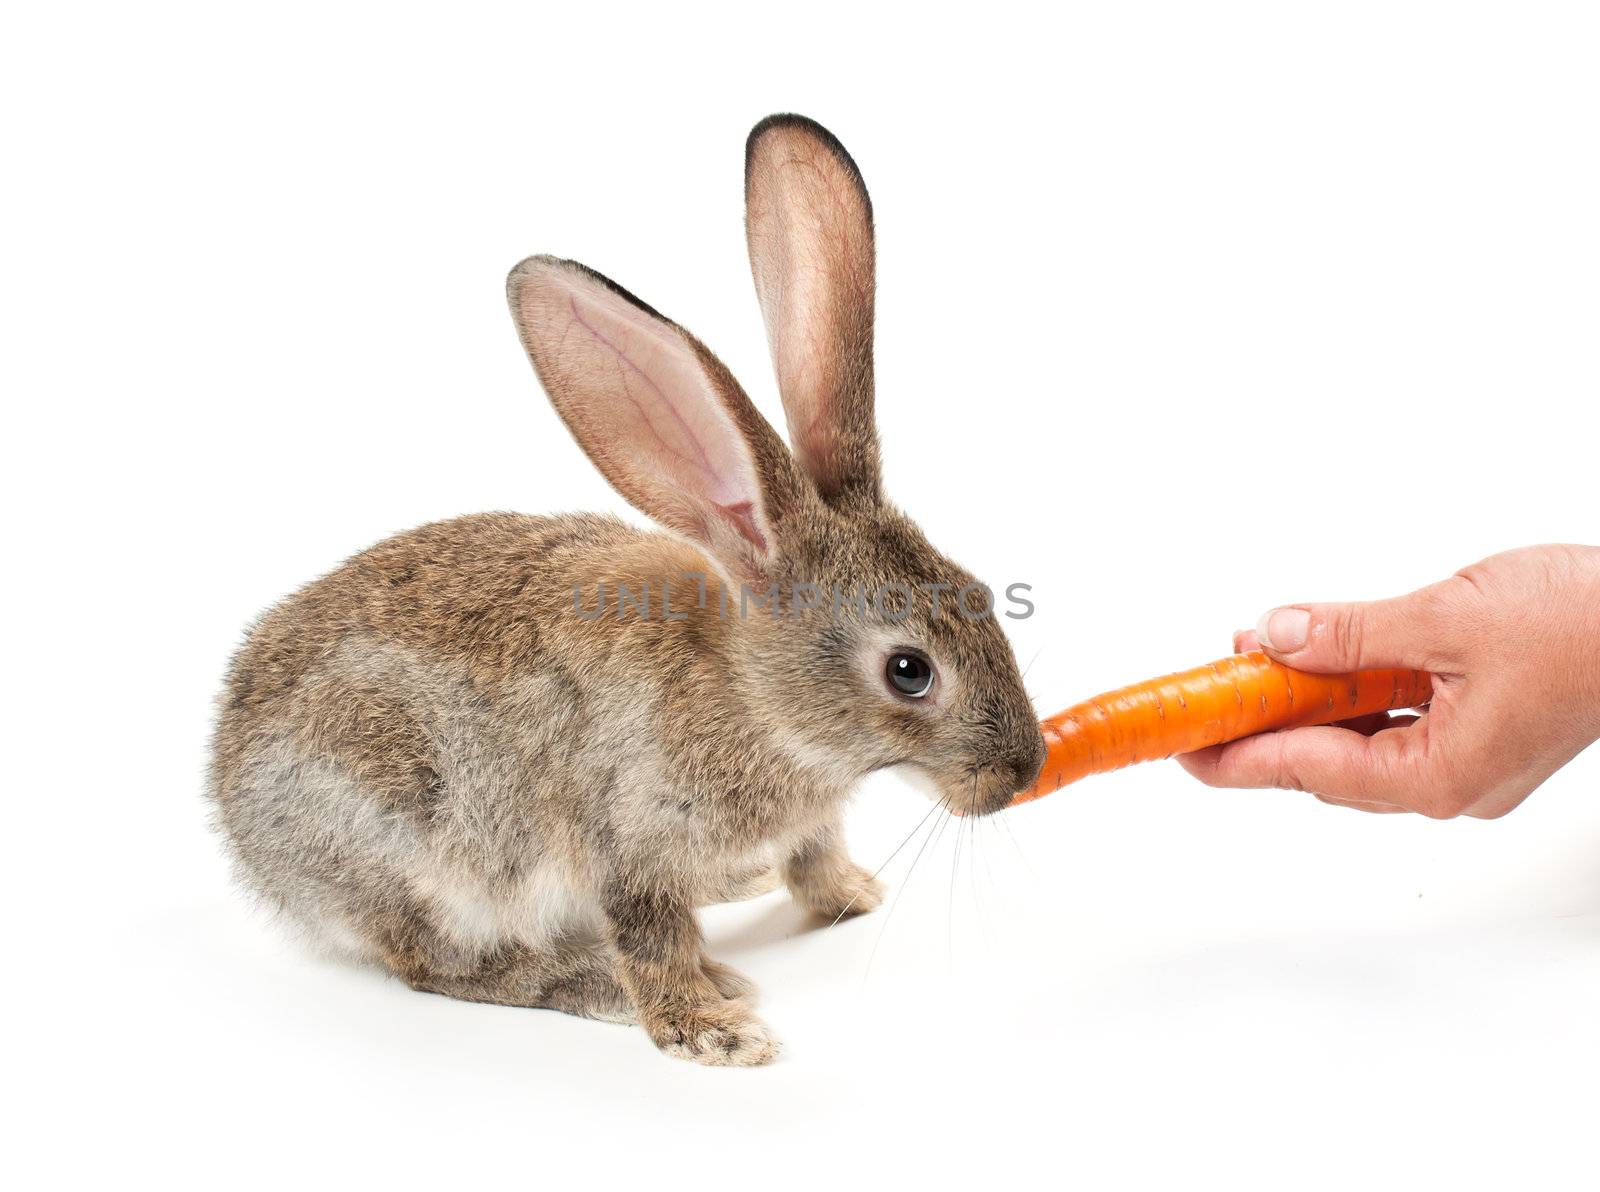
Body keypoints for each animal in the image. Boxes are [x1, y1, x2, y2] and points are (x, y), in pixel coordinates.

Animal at [206, 116, 1043, 1062]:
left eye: (986, 594)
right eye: (909, 671)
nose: (1021, 772)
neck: (755, 694)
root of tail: (236, 819)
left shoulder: (805, 819)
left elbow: (813, 856)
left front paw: (850, 897)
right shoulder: (631, 835)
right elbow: (650, 935)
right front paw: (711, 1032)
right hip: (418, 844)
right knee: (436, 963)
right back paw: (592, 980)